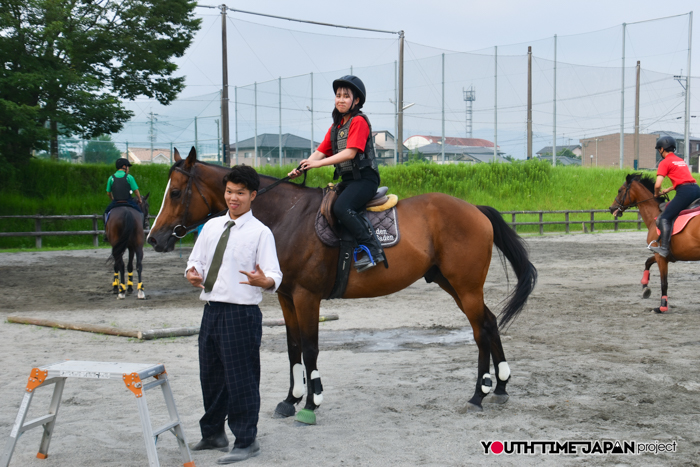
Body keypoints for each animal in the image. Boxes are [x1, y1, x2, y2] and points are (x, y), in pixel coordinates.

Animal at [147, 147, 537, 423]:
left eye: (176, 192)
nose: (154, 238)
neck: (286, 216)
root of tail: (474, 208)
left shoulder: (306, 297)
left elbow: (310, 348)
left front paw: (312, 400)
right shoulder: (286, 298)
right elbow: (292, 348)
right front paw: (291, 399)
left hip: (465, 287)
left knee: (480, 329)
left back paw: (479, 393)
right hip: (452, 284)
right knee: (488, 322)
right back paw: (500, 386)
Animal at [610, 173, 700, 313]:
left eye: (620, 190)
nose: (611, 208)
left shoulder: (660, 256)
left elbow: (664, 282)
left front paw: (662, 306)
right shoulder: (661, 255)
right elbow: (647, 262)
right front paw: (645, 287)